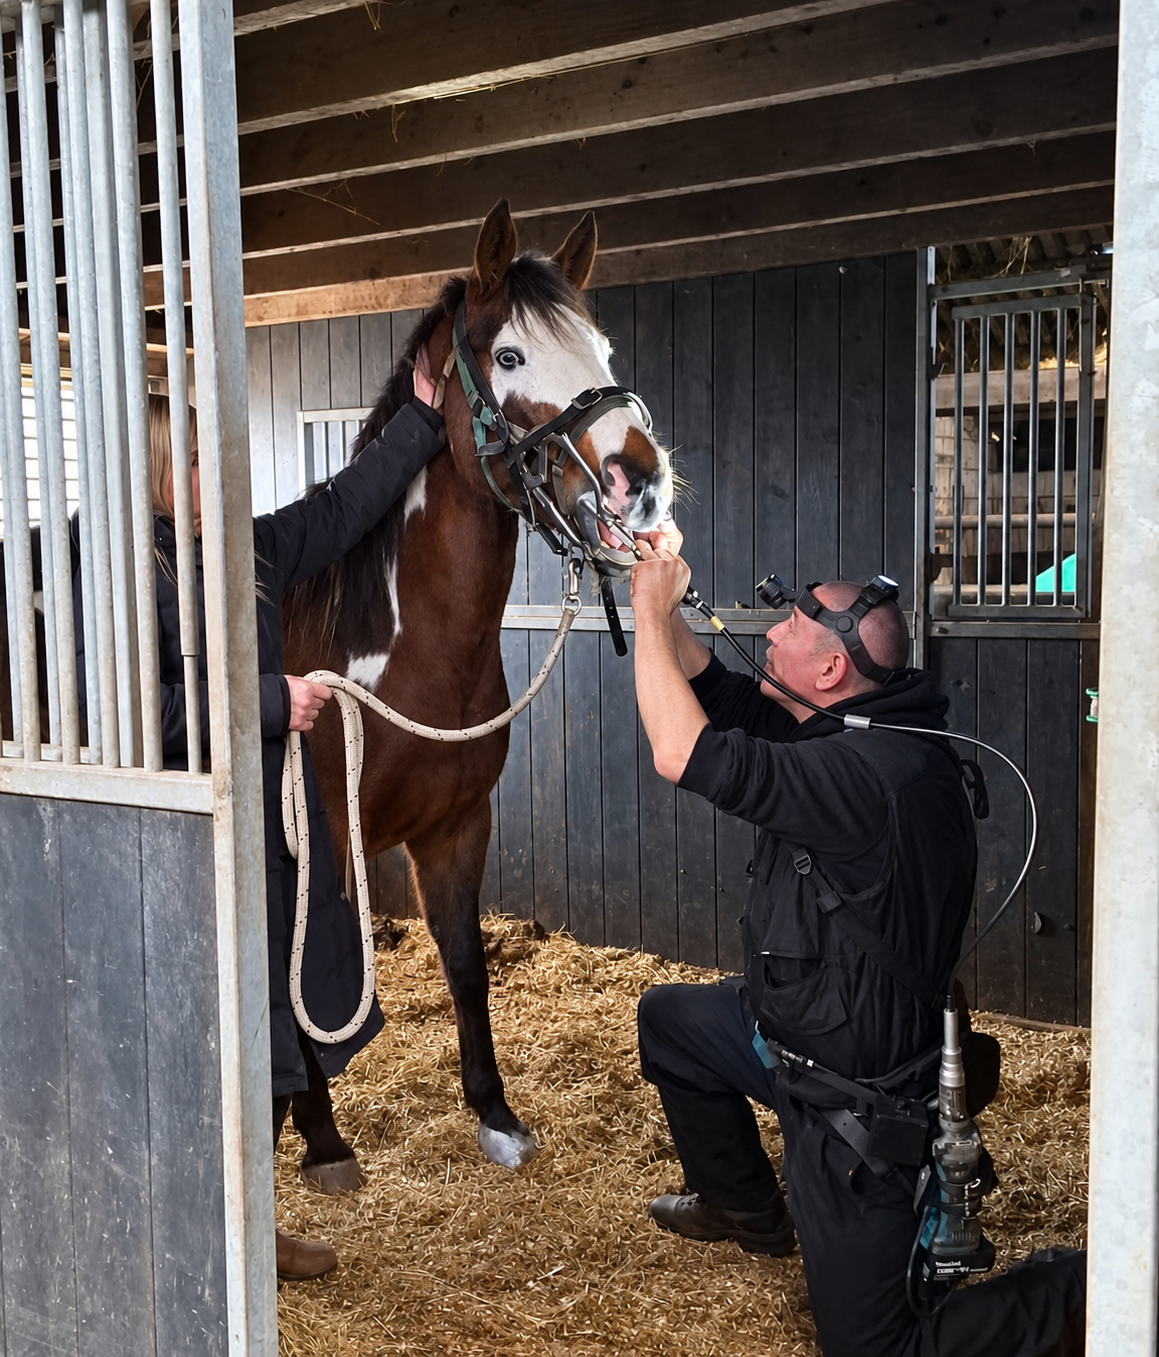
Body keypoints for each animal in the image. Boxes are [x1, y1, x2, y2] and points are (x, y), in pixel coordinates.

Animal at [280, 199, 673, 1189]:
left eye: (602, 349)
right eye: (510, 356)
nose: (641, 481)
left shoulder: (457, 826)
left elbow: (465, 963)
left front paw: (494, 1114)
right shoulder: (320, 848)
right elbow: (306, 986)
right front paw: (323, 1137)